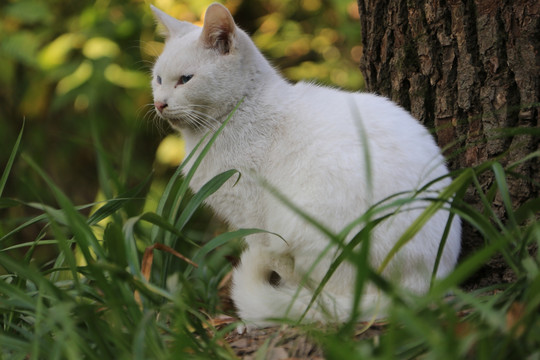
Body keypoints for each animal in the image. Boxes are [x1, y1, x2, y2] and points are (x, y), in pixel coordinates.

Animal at [151, 2, 460, 328]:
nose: (160, 103)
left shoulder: (255, 218)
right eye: (158, 79)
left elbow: (272, 257)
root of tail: (422, 286)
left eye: (185, 79)